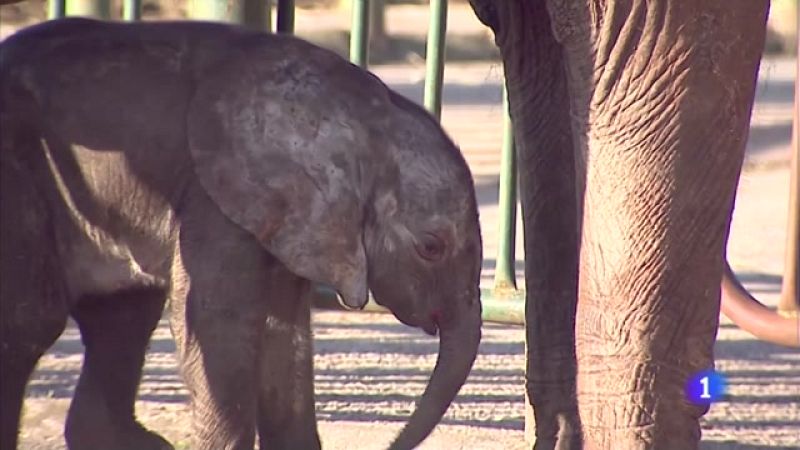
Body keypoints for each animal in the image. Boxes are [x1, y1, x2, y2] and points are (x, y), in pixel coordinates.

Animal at [0, 18, 483, 450]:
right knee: (32, 323)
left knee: (122, 314)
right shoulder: (213, 196)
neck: (364, 111)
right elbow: (217, 321)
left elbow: (284, 334)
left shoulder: (298, 218)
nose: (390, 445)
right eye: (431, 247)